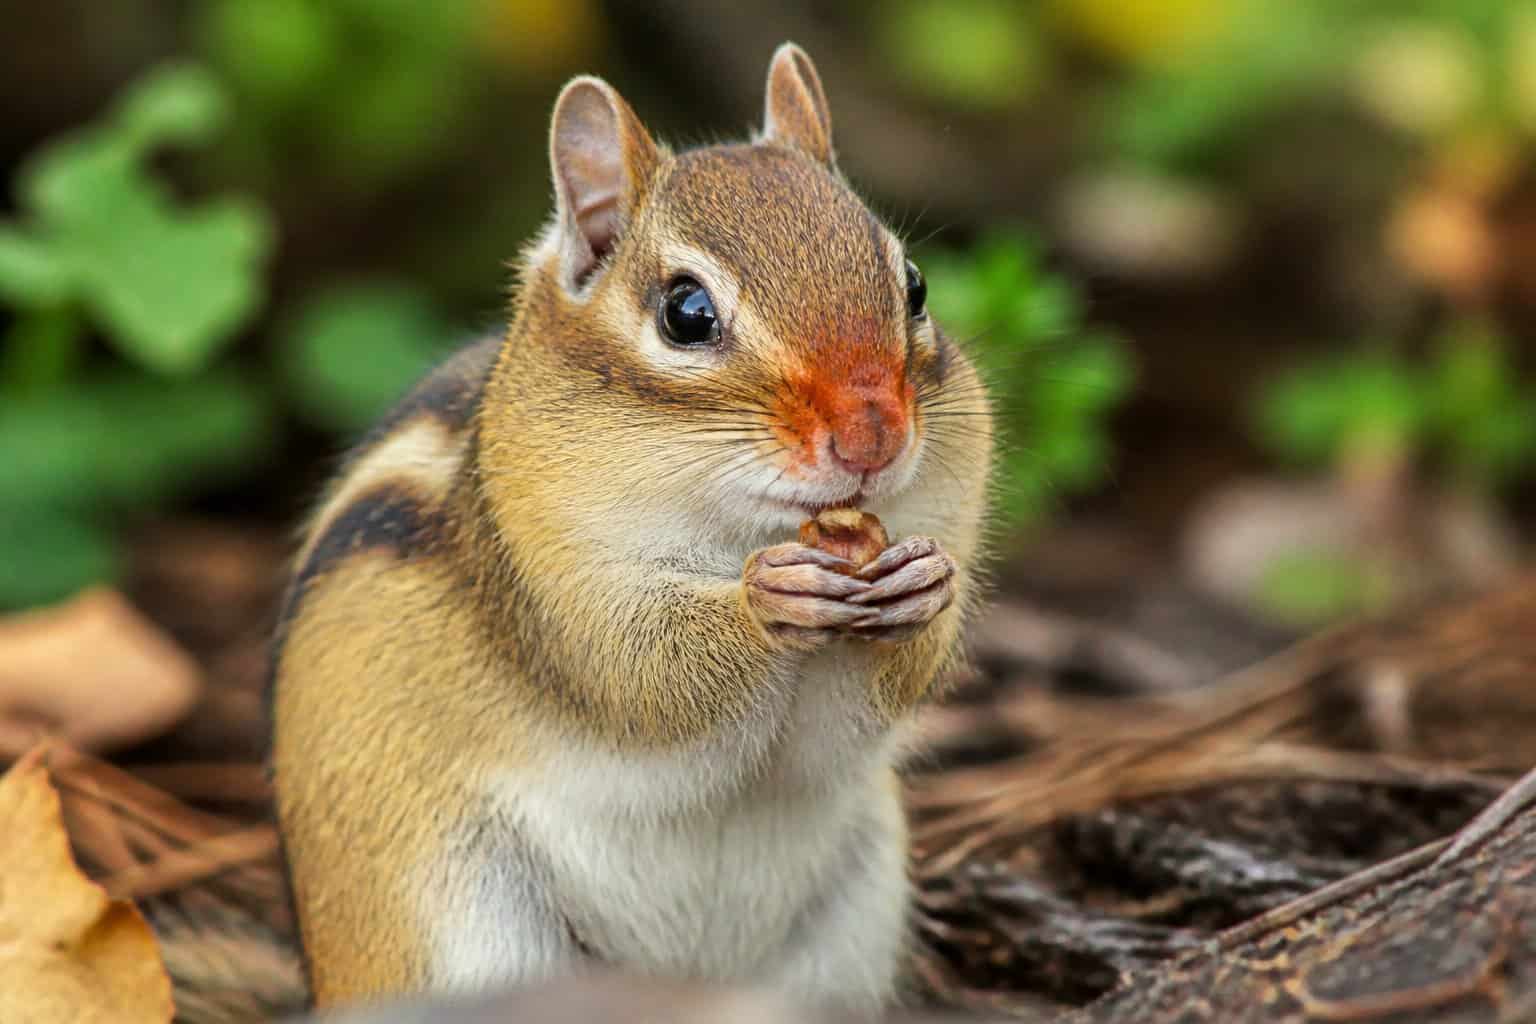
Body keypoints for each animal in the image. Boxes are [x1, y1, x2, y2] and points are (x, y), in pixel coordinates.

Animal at [268, 42, 994, 1015]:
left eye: (913, 287)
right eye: (686, 312)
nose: (873, 435)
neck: (735, 526)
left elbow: (864, 706)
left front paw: (926, 585)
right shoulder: (555, 582)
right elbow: (638, 669)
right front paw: (768, 599)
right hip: (446, 925)